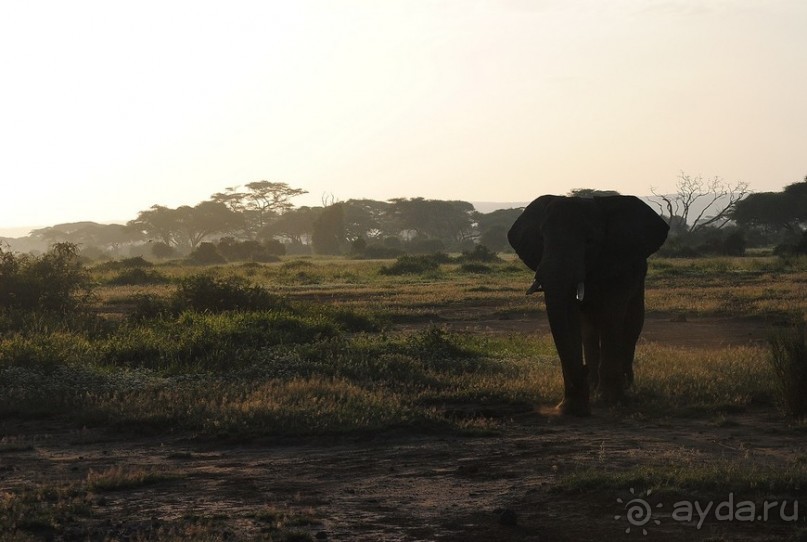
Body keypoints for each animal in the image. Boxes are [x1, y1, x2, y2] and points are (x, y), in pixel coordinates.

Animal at [512, 196, 668, 416]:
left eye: (589, 241)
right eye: (542, 239)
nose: (583, 372)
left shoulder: (619, 264)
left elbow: (612, 315)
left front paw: (609, 400)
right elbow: (572, 315)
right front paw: (573, 406)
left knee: (632, 323)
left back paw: (625, 386)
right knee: (589, 329)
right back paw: (596, 384)